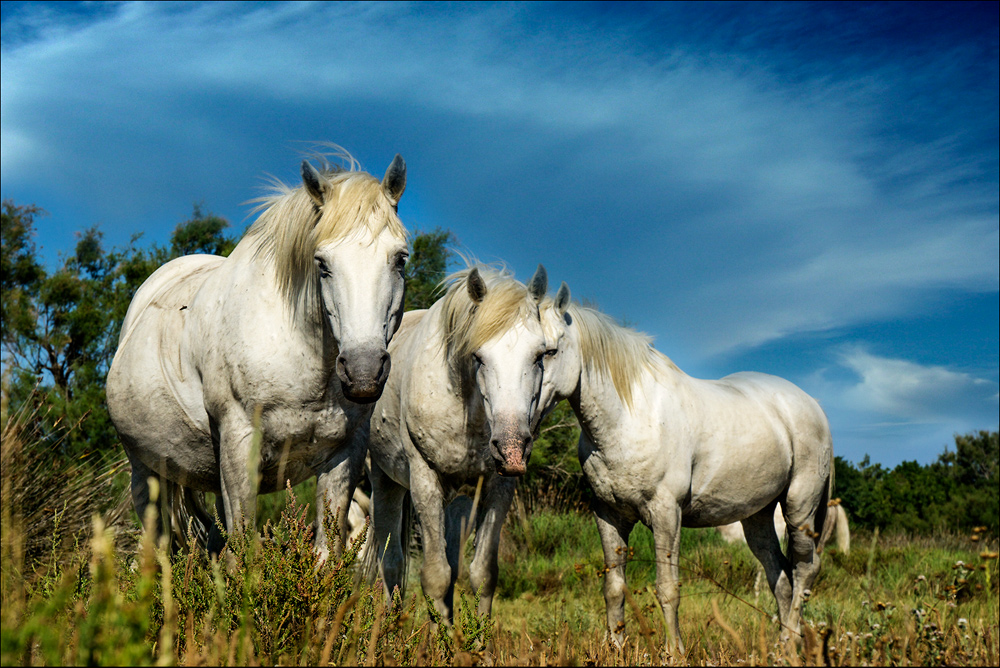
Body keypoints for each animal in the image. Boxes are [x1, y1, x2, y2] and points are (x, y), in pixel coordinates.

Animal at [107, 147, 408, 560]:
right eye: (322, 263)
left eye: (400, 259)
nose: (363, 372)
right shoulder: (239, 448)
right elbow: (244, 554)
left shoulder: (344, 455)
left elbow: (328, 555)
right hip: (147, 473)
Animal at [360, 264, 552, 624]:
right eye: (478, 356)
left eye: (540, 355)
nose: (512, 450)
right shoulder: (424, 482)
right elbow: (435, 576)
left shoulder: (498, 488)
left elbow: (482, 574)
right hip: (386, 484)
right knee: (391, 565)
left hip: (458, 501)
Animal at [540, 288, 836, 652]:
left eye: (549, 350)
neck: (628, 417)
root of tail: (812, 405)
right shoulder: (608, 513)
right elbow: (614, 586)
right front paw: (616, 648)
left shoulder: (667, 514)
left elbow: (667, 587)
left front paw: (674, 651)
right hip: (758, 517)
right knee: (779, 575)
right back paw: (783, 648)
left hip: (799, 508)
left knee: (804, 570)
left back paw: (790, 639)